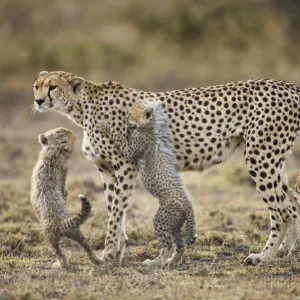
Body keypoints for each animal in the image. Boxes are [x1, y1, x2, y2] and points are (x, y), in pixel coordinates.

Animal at [32, 70, 300, 264]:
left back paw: (264, 256)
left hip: (260, 157)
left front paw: (108, 253)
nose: (38, 100)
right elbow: (114, 210)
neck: (81, 107)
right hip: (273, 160)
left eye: (53, 86)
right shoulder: (107, 170)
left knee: (282, 211)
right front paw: (117, 251)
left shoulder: (126, 166)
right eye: (36, 85)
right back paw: (286, 251)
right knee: (294, 201)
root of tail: (288, 85)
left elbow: (116, 211)